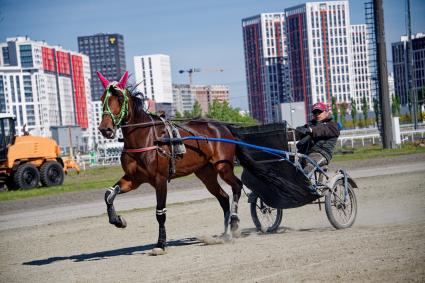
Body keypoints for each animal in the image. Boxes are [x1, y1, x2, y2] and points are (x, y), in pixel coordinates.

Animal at [96, 71, 242, 255]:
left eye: (120, 99)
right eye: (102, 98)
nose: (105, 129)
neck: (147, 138)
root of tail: (222, 126)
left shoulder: (160, 179)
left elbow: (160, 212)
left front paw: (161, 244)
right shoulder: (133, 179)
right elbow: (109, 194)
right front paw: (117, 220)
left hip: (223, 167)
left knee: (237, 186)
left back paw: (234, 223)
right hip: (205, 173)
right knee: (223, 197)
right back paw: (225, 233)